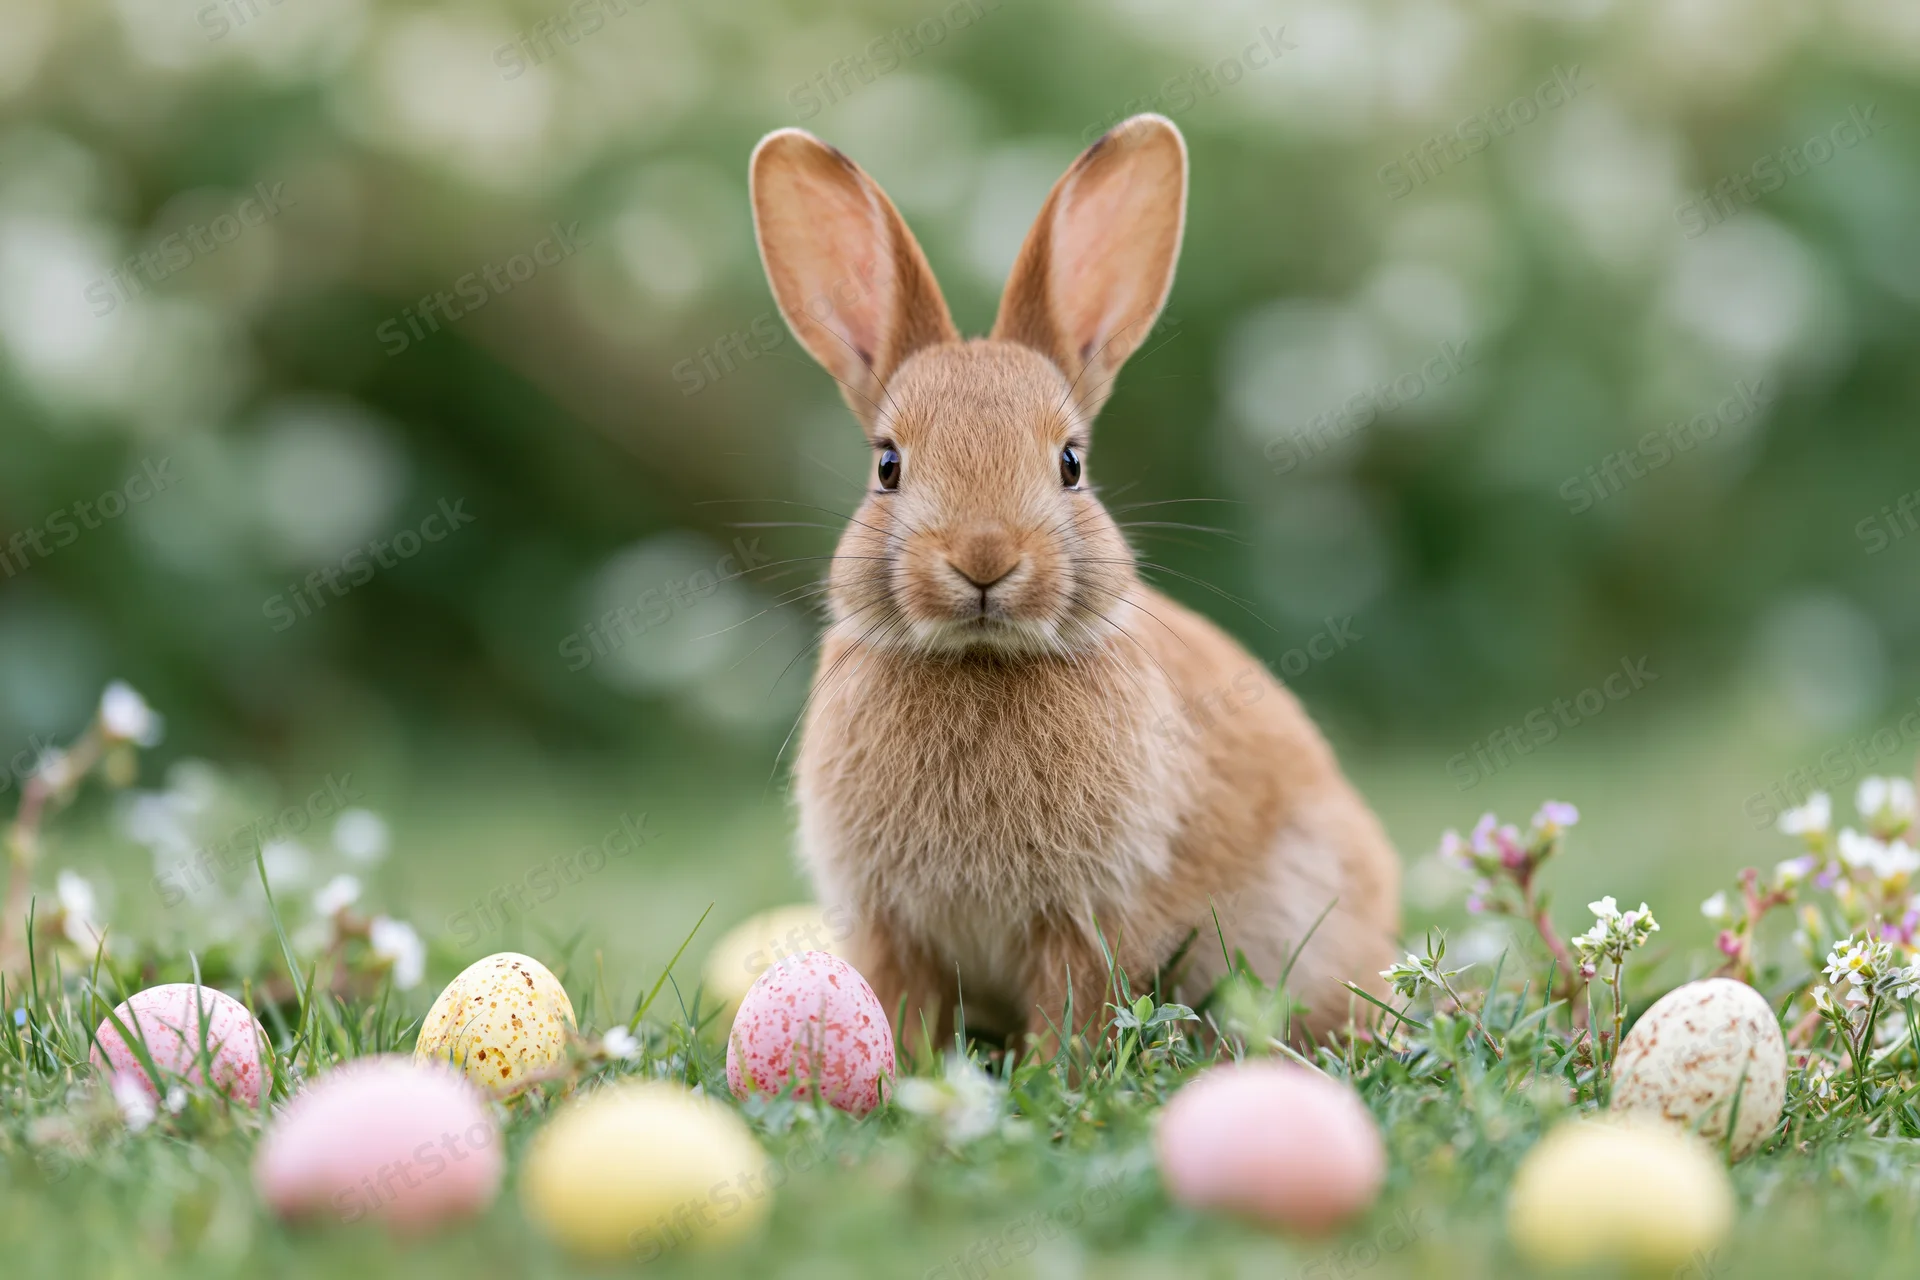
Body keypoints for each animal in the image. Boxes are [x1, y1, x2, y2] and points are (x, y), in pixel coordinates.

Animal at [747, 113, 1401, 1056]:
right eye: (887, 466)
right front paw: (908, 1070)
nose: (985, 558)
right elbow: (901, 1003)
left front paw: (1054, 1069)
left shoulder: (1092, 915)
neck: (982, 659)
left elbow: (1075, 1005)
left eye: (1070, 464)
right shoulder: (890, 925)